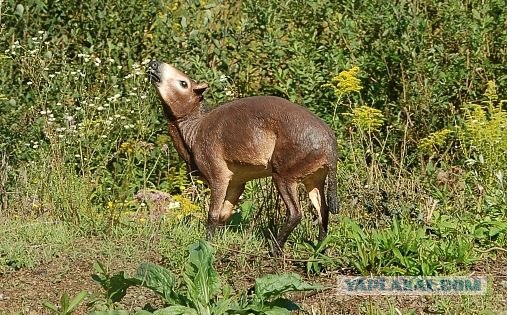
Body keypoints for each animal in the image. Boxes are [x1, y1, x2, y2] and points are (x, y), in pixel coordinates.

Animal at [146, 60, 338, 256]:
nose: (154, 63)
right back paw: (320, 249)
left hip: (284, 174)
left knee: (296, 213)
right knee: (323, 211)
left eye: (183, 83)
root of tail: (330, 147)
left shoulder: (218, 175)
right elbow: (224, 214)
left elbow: (213, 214)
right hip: (314, 178)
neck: (194, 130)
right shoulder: (237, 181)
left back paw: (275, 249)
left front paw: (207, 244)